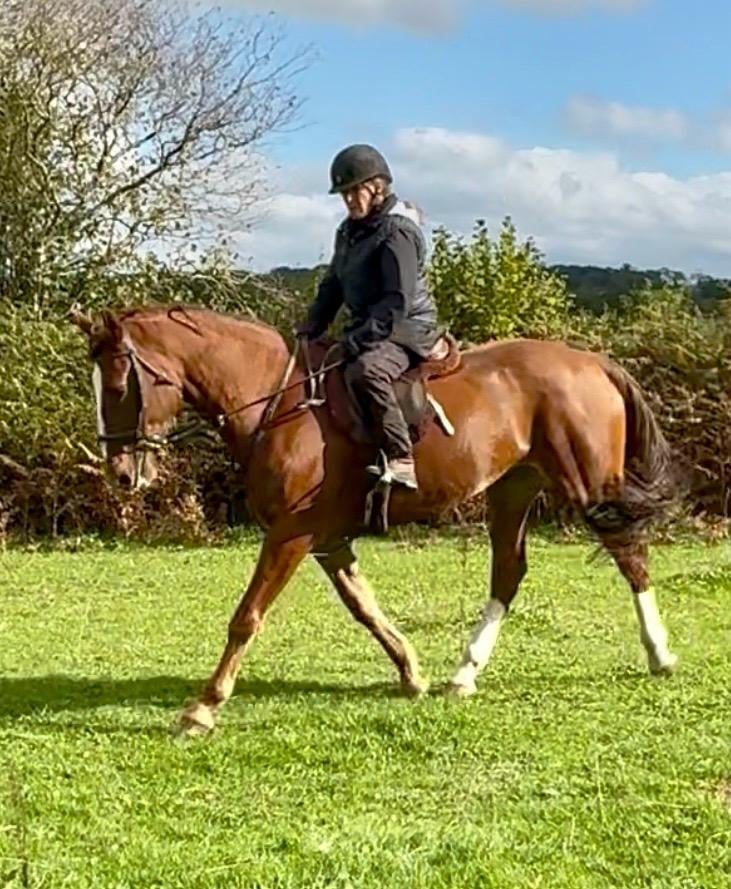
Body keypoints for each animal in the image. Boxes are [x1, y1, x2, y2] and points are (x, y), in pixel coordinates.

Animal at [70, 305, 680, 736]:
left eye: (120, 387)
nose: (121, 474)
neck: (277, 402)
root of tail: (592, 362)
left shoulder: (290, 535)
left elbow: (246, 617)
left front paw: (203, 707)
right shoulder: (326, 540)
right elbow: (364, 607)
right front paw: (412, 674)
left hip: (590, 486)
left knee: (630, 555)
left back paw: (659, 654)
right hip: (513, 490)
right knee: (509, 571)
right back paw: (464, 674)